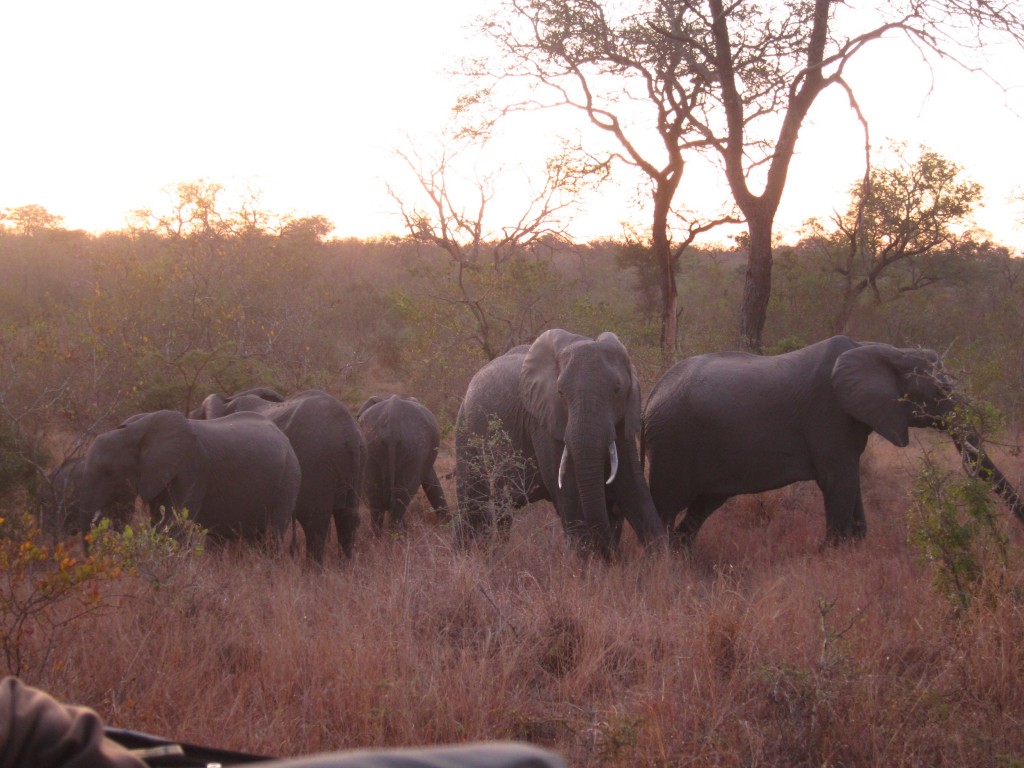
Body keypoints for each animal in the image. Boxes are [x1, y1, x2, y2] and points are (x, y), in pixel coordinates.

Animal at [80, 411, 299, 544]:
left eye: (108, 472)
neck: (135, 431)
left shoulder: (189, 469)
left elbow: (173, 524)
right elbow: (158, 520)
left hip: (288, 480)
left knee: (272, 535)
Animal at [356, 393, 448, 532]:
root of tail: (391, 428)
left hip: (382, 445)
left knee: (379, 500)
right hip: (411, 446)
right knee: (398, 500)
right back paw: (398, 534)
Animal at [454, 329, 663, 561]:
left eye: (617, 389)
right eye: (560, 393)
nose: (617, 556)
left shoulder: (624, 417)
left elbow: (632, 484)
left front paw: (661, 562)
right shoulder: (542, 421)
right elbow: (568, 493)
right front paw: (591, 566)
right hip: (465, 432)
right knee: (473, 506)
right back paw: (467, 557)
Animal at [643, 335, 1019, 548]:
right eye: (939, 393)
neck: (883, 351)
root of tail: (653, 394)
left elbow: (849, 481)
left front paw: (853, 546)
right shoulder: (828, 415)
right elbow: (838, 480)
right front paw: (831, 551)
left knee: (703, 505)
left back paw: (682, 553)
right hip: (673, 441)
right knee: (665, 505)